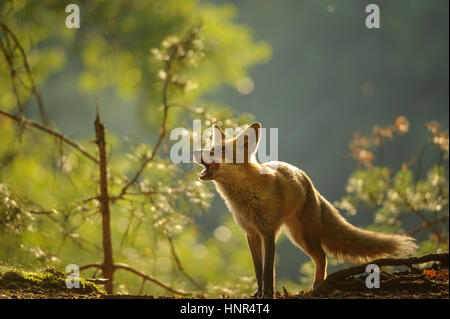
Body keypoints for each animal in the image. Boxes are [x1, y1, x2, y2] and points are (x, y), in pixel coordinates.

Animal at [192, 123, 416, 300]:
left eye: (216, 150)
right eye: (209, 148)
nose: (194, 152)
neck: (246, 197)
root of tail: (311, 184)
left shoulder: (268, 233)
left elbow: (268, 271)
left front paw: (268, 294)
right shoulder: (251, 234)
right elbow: (258, 270)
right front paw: (258, 293)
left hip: (302, 236)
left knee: (322, 256)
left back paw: (318, 287)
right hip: (298, 236)